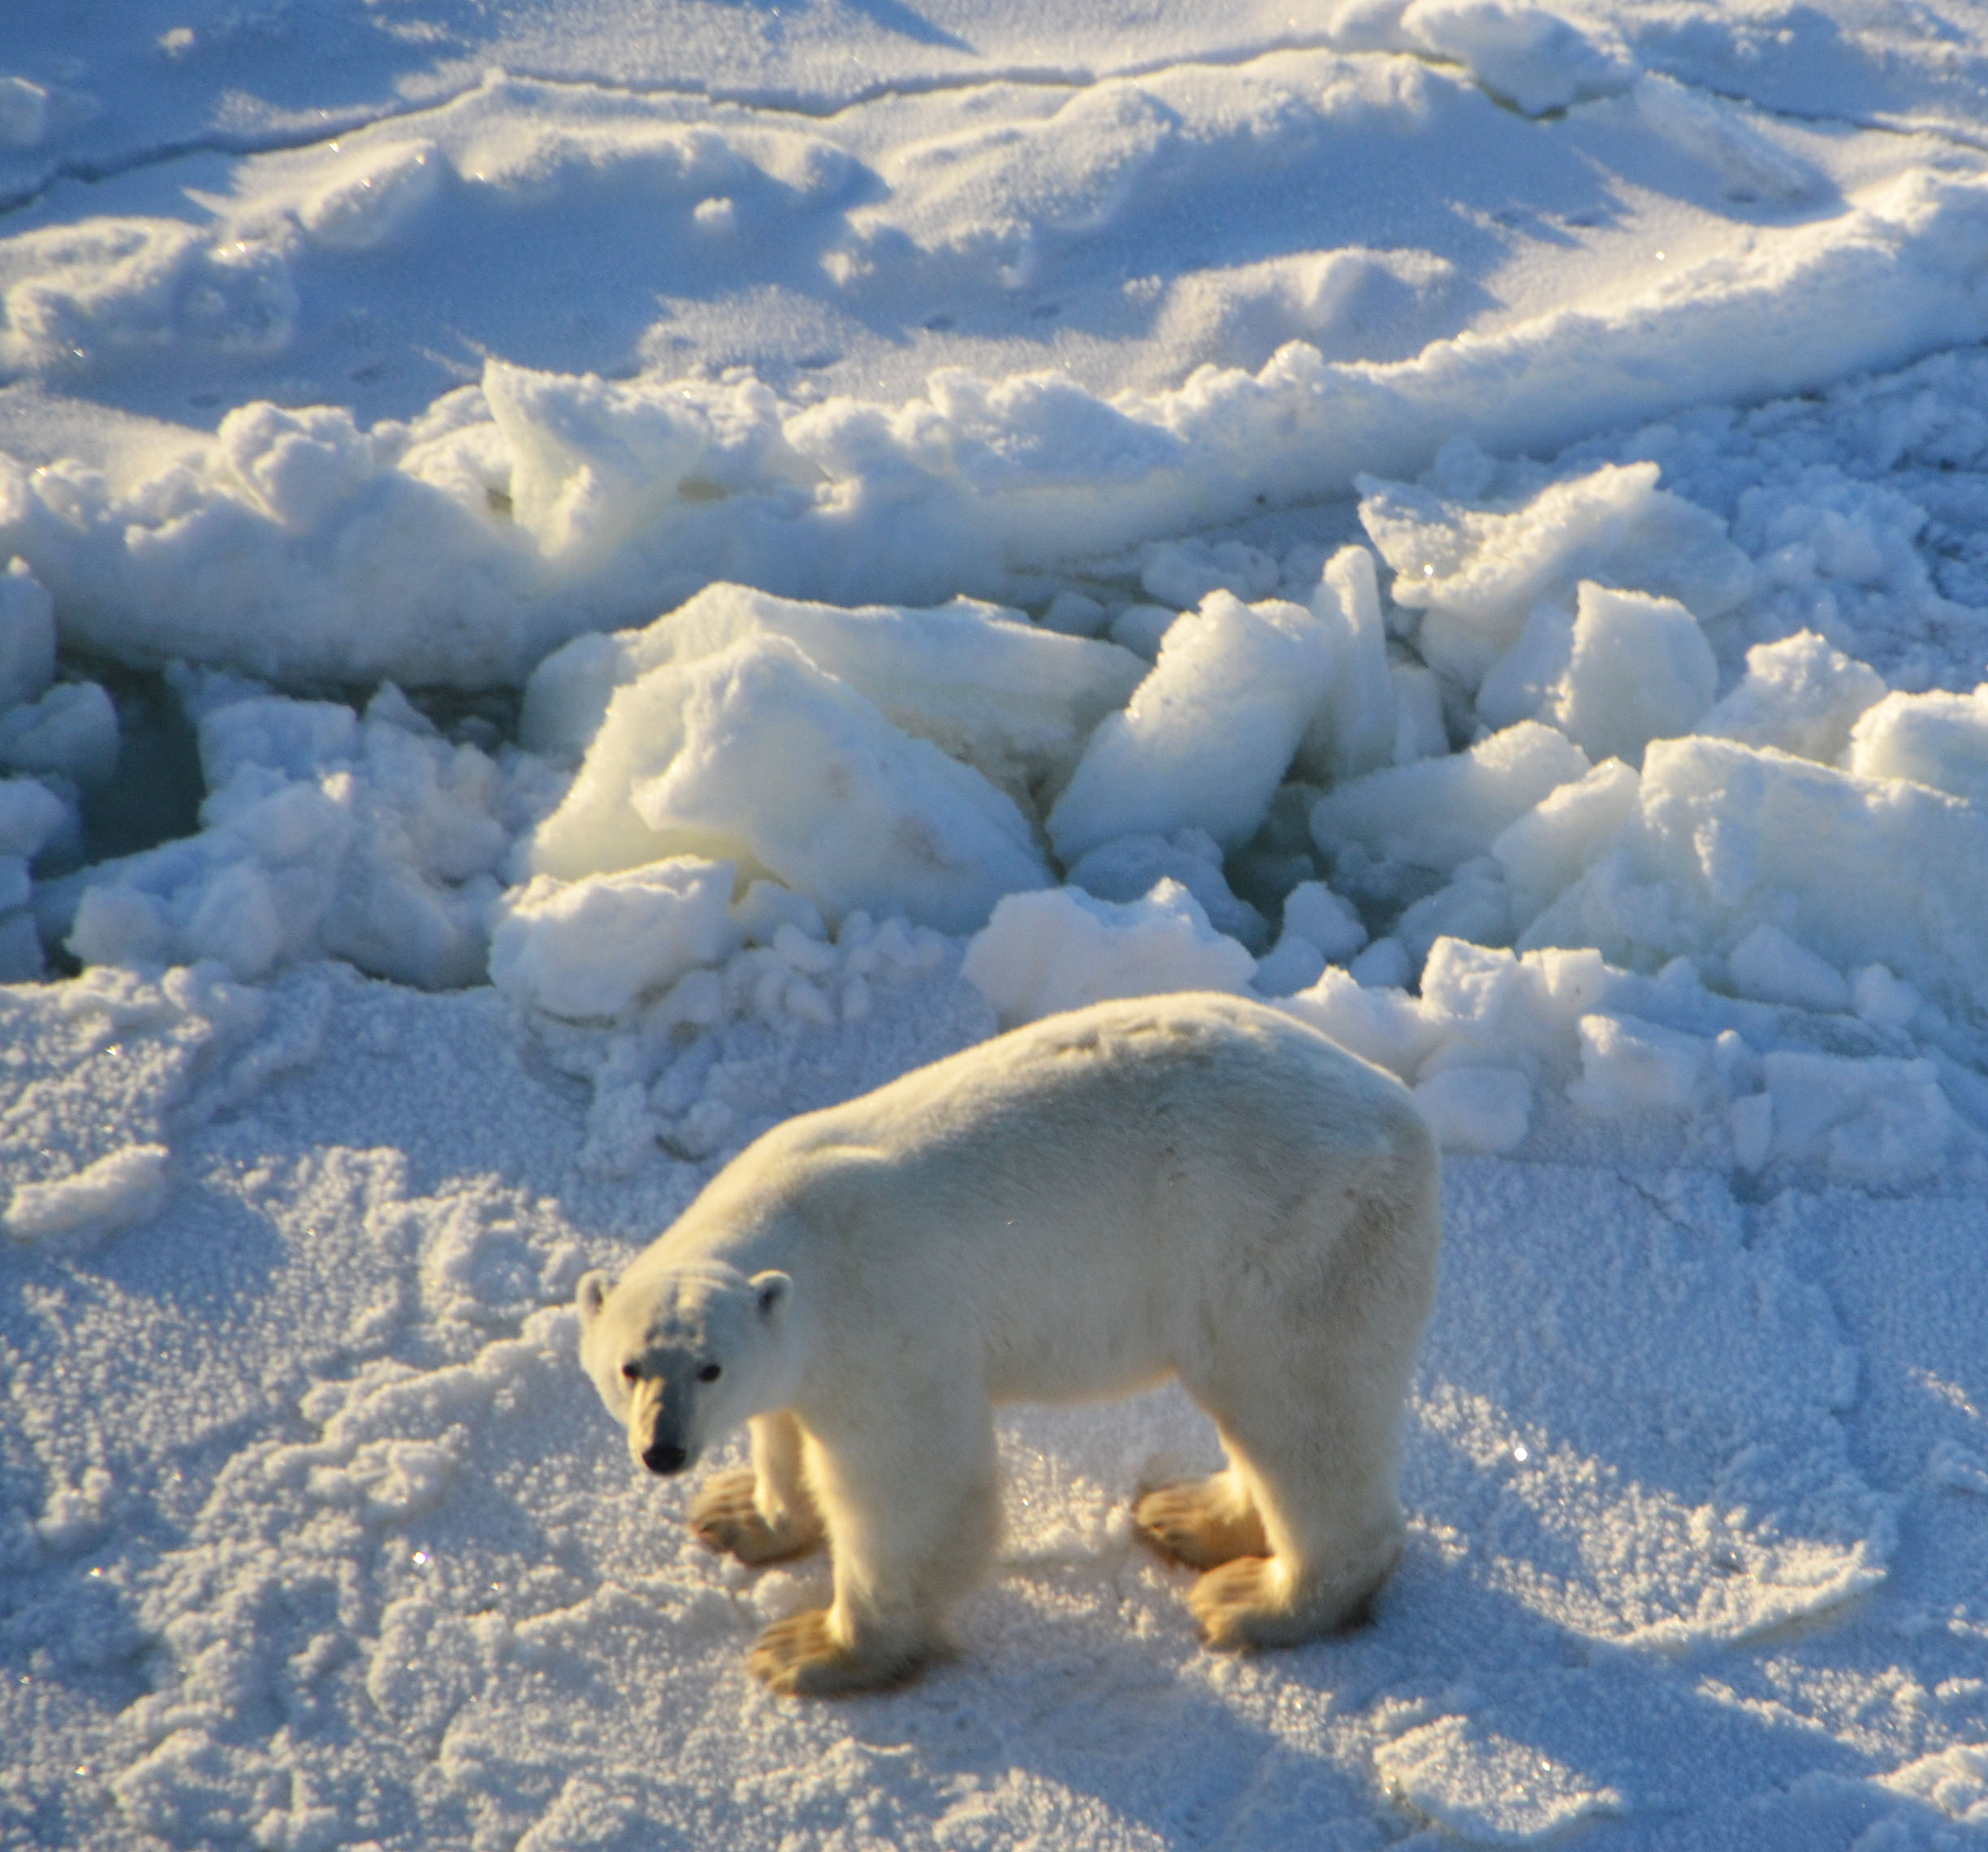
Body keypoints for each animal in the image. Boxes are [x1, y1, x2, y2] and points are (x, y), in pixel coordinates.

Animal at [577, 989, 1441, 1696]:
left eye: (710, 1368)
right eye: (630, 1368)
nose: (663, 1451)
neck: (799, 1224)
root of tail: (1403, 1116)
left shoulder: (885, 1325)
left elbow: (911, 1486)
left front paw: (812, 1650)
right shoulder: (804, 1349)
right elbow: (784, 1429)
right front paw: (738, 1512)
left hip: (1287, 1240)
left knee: (1301, 1409)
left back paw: (1255, 1598)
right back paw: (1188, 1513)